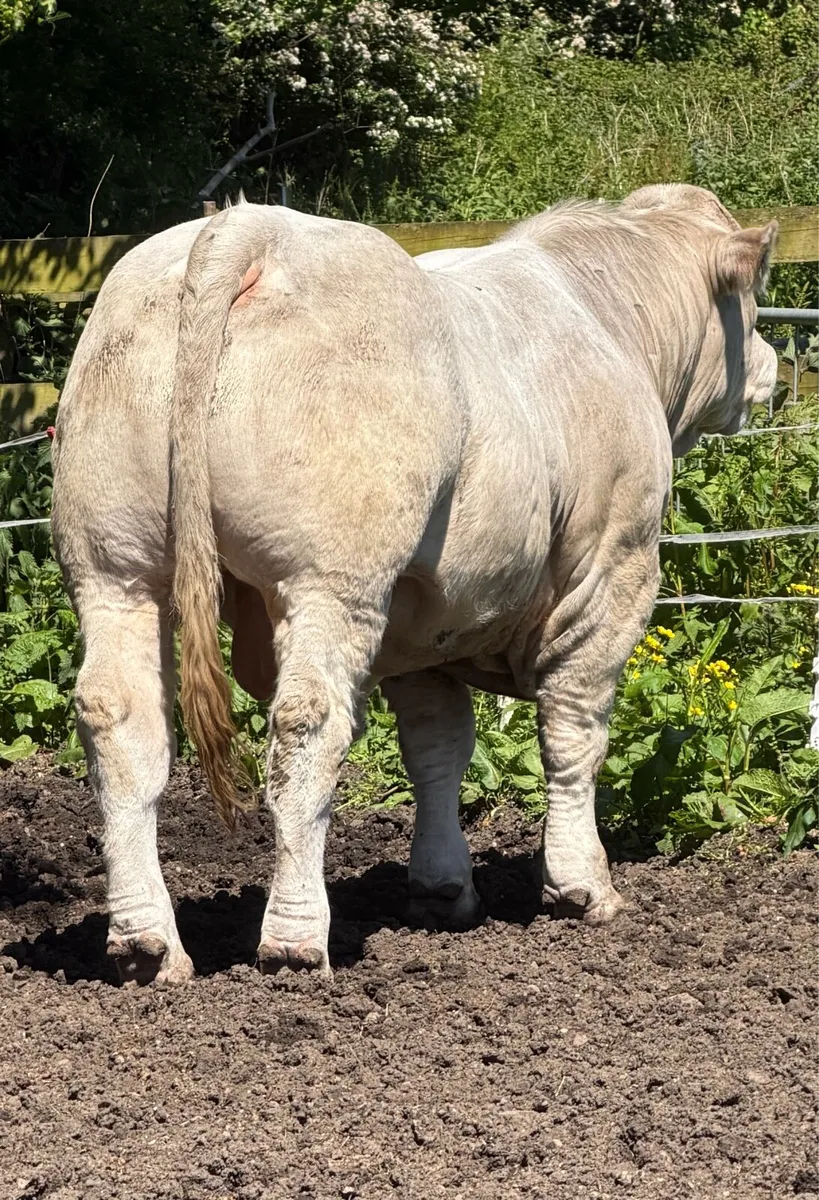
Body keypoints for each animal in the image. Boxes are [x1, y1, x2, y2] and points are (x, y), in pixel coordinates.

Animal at [51, 183, 778, 984]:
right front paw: (581, 885)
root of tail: (250, 224)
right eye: (753, 301)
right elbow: (573, 732)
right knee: (306, 725)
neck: (609, 318)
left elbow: (437, 748)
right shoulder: (612, 567)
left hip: (113, 564)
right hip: (331, 577)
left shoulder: (423, 625)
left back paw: (146, 942)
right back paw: (295, 940)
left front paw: (440, 888)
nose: (774, 368)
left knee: (118, 718)